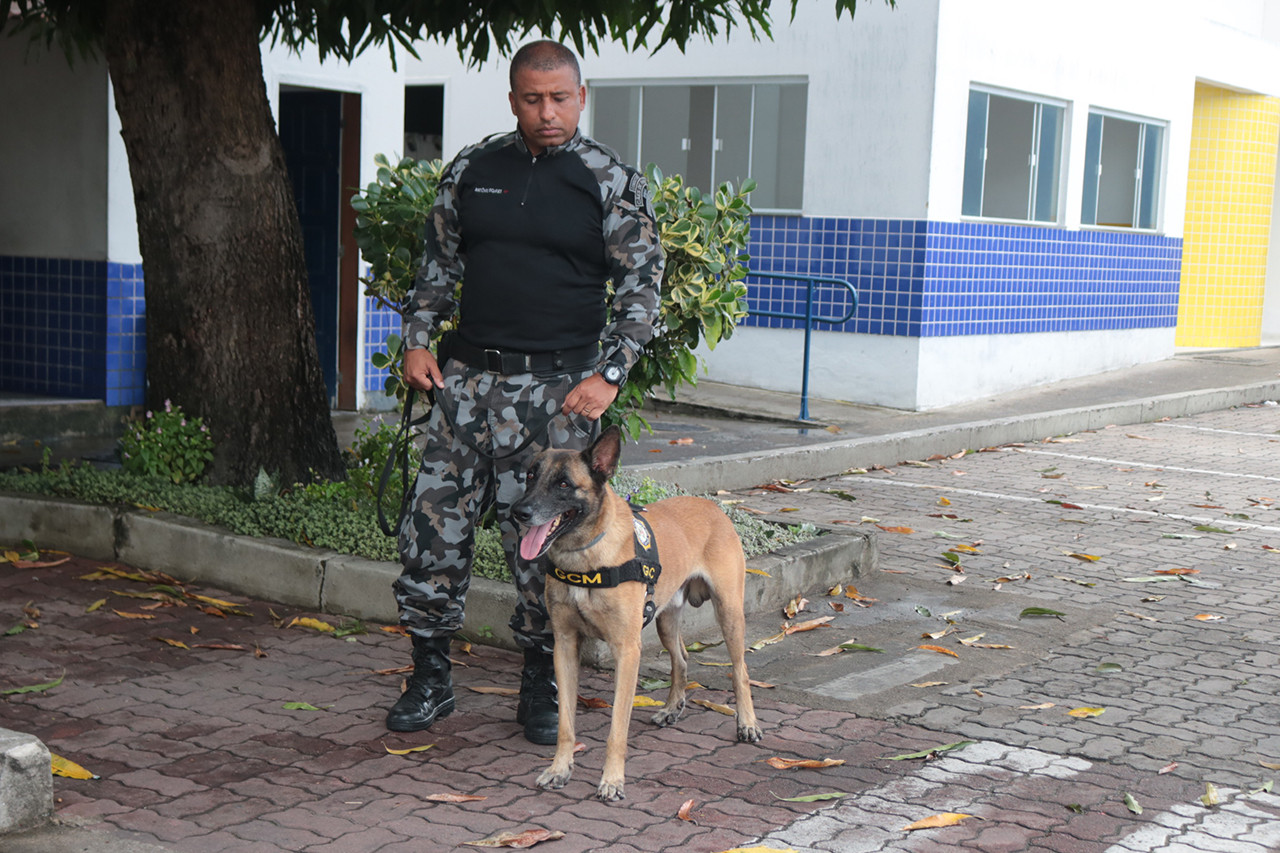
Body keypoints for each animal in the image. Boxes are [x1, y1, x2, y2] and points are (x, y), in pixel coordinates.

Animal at [509, 422, 757, 799]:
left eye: (564, 484)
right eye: (530, 476)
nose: (518, 512)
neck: (585, 556)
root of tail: (712, 505)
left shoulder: (627, 651)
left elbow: (617, 729)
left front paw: (612, 780)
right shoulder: (565, 646)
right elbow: (566, 724)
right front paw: (559, 769)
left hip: (728, 613)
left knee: (739, 669)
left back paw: (747, 723)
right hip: (665, 620)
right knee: (681, 659)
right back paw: (671, 708)